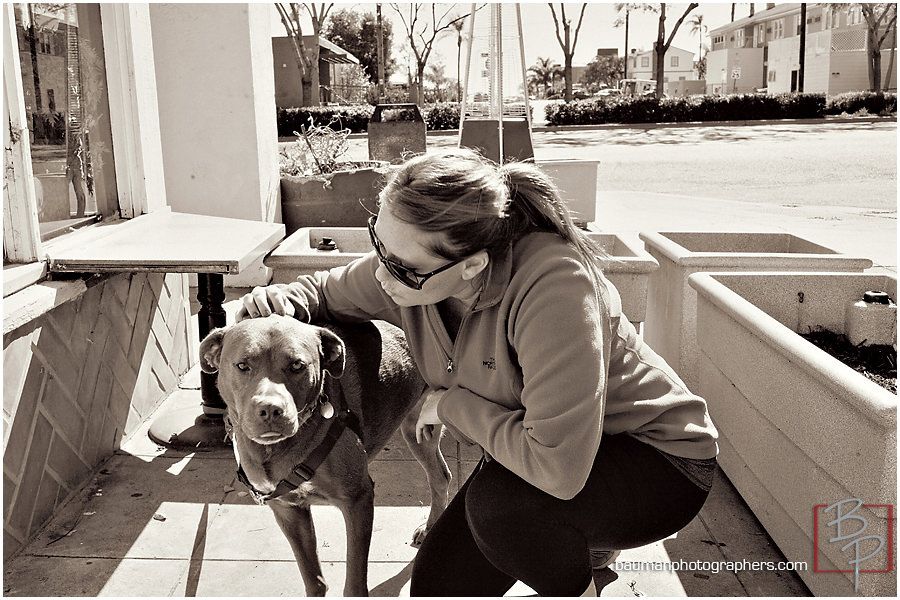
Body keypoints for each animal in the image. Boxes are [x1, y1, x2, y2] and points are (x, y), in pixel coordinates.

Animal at [198, 314, 450, 596]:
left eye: (297, 365)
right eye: (242, 365)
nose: (271, 410)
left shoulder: (357, 499)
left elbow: (354, 581)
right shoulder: (288, 510)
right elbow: (313, 578)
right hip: (417, 429)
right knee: (441, 476)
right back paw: (430, 527)